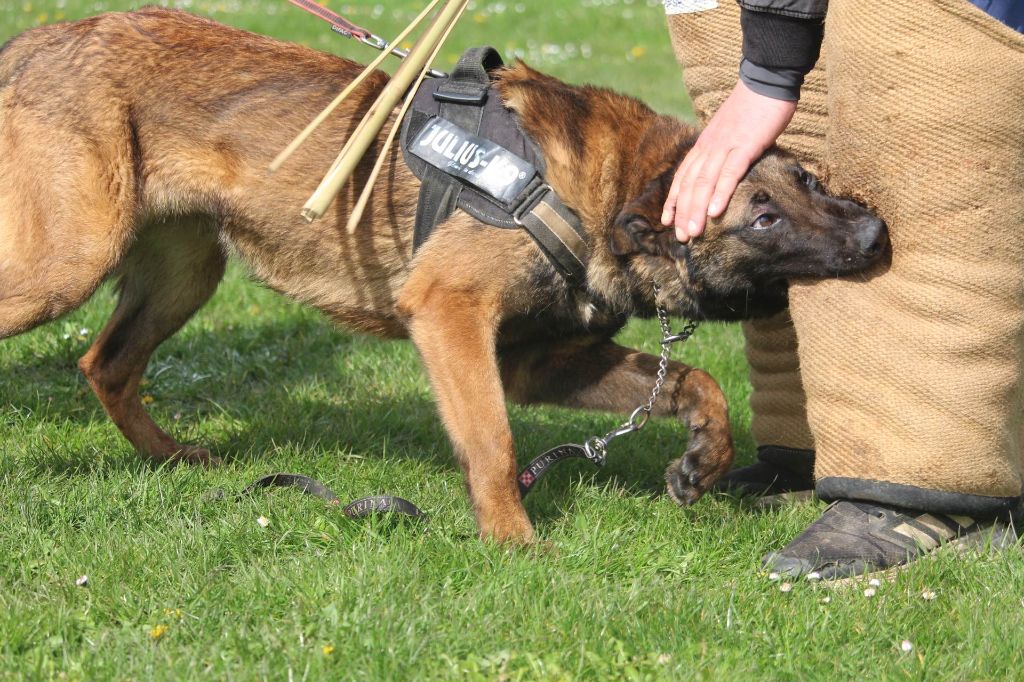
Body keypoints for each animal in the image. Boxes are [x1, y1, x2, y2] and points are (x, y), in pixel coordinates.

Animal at [0, 7, 888, 540]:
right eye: (762, 217)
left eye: (808, 180)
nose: (877, 233)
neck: (594, 187)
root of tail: (40, 37)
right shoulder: (450, 316)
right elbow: (493, 441)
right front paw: (513, 543)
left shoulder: (541, 359)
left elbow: (694, 382)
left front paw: (703, 457)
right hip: (66, 265)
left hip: (186, 272)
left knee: (106, 363)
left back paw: (170, 457)